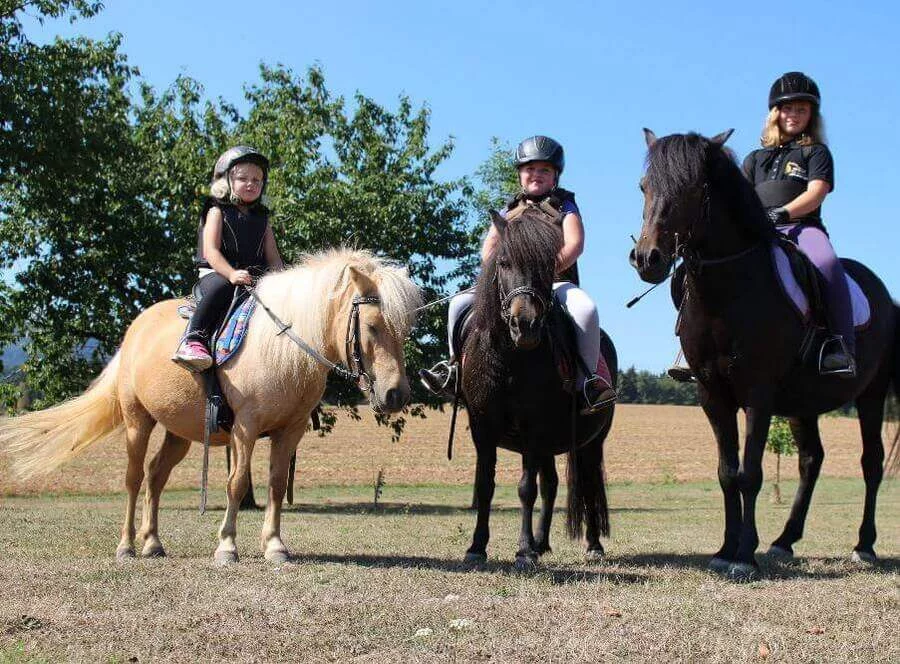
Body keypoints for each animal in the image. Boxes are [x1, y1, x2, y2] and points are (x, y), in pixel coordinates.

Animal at [0, 252, 422, 564]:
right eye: (371, 327)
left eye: (404, 330)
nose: (396, 394)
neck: (282, 348)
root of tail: (135, 329)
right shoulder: (245, 427)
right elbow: (237, 483)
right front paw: (227, 547)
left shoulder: (291, 430)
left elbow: (275, 483)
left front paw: (275, 546)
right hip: (138, 420)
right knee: (134, 478)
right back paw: (127, 546)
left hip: (179, 433)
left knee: (155, 476)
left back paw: (153, 543)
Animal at [460, 210, 616, 568]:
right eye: (503, 262)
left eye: (547, 266)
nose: (526, 325)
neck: (509, 359)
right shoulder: (482, 427)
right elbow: (485, 486)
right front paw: (477, 547)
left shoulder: (533, 428)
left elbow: (525, 489)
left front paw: (523, 550)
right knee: (551, 485)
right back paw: (543, 542)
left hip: (590, 442)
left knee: (587, 482)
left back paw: (592, 545)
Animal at [628, 130, 896, 580]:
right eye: (644, 187)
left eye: (692, 188)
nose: (648, 258)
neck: (730, 291)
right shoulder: (713, 395)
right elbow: (726, 472)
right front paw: (725, 549)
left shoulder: (758, 393)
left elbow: (750, 473)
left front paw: (743, 555)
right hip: (804, 403)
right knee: (811, 459)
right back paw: (784, 541)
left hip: (871, 394)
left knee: (871, 462)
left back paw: (864, 545)